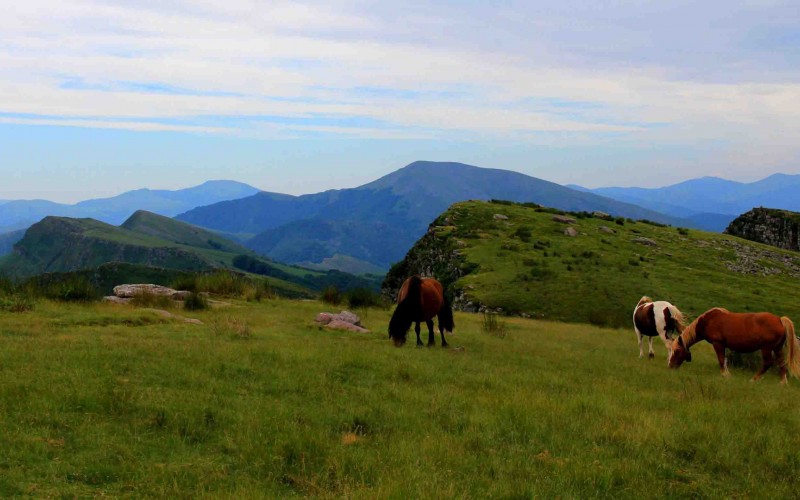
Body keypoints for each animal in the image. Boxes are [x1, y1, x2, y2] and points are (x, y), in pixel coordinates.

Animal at [668, 308, 800, 382]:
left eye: (677, 351)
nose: (670, 367)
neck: (708, 321)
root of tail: (780, 320)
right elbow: (724, 360)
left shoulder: (718, 343)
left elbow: (721, 360)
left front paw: (725, 375)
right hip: (777, 348)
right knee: (781, 363)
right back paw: (782, 383)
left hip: (766, 348)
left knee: (767, 363)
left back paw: (753, 380)